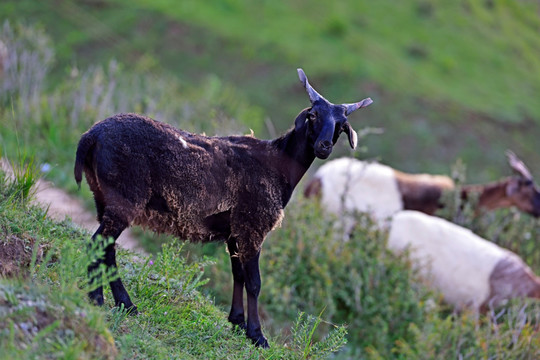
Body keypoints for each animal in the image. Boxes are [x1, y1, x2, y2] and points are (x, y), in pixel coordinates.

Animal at [74, 67, 374, 346]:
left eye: (341, 125)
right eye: (313, 116)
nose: (324, 146)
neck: (279, 165)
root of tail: (91, 135)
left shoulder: (235, 231)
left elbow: (238, 274)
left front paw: (237, 322)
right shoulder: (253, 226)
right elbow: (254, 282)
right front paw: (257, 335)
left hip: (103, 197)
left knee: (107, 249)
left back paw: (122, 303)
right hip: (124, 198)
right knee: (98, 244)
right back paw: (99, 299)